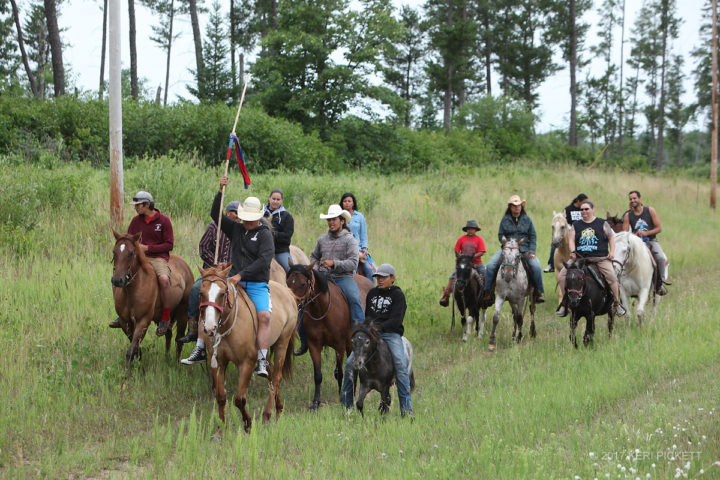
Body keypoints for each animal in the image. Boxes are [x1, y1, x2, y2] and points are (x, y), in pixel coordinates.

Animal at [111, 228, 193, 368]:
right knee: (168, 334)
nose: (117, 280)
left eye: (131, 253)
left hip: (182, 313)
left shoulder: (143, 321)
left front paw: (128, 372)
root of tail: (186, 266)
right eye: (114, 251)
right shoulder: (125, 322)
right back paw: (167, 359)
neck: (132, 290)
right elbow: (135, 347)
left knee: (179, 339)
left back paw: (177, 364)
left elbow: (131, 350)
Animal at [198, 264, 296, 434]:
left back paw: (267, 415)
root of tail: (288, 292)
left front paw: (248, 423)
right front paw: (221, 428)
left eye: (222, 294)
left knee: (276, 378)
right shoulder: (218, 363)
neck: (229, 325)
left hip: (282, 343)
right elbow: (221, 397)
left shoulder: (246, 363)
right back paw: (279, 408)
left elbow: (239, 399)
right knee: (271, 375)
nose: (210, 328)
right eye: (201, 293)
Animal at [286, 264, 374, 410]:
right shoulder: (314, 345)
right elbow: (317, 375)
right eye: (288, 282)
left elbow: (339, 372)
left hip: (350, 345)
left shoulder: (339, 346)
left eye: (303, 283)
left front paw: (340, 396)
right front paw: (315, 403)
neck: (322, 310)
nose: (292, 304)